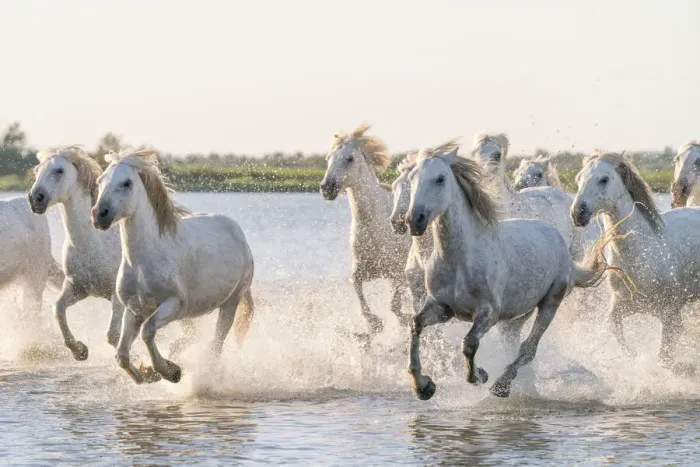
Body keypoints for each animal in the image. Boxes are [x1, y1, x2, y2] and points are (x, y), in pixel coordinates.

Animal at [28, 146, 198, 361]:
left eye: (59, 170)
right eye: (37, 170)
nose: (35, 199)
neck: (93, 243)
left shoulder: (117, 299)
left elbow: (112, 335)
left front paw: (139, 364)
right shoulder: (77, 287)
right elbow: (58, 309)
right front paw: (80, 350)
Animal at [91, 149, 254, 384]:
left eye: (127, 182)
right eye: (100, 180)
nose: (99, 215)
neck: (143, 263)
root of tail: (238, 232)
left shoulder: (174, 305)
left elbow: (147, 331)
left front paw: (170, 372)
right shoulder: (134, 309)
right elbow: (121, 355)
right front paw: (147, 374)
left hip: (231, 301)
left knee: (216, 344)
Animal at [320, 123, 412, 339]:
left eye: (349, 158)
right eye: (328, 158)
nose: (326, 188)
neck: (374, 225)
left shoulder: (398, 272)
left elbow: (395, 307)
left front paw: (404, 320)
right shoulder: (364, 270)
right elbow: (356, 286)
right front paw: (374, 324)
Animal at [404, 141, 612, 400]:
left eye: (440, 178)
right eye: (412, 177)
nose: (414, 219)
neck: (461, 259)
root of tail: (557, 239)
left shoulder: (488, 313)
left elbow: (468, 343)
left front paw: (480, 375)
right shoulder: (441, 308)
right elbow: (415, 325)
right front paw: (423, 387)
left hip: (550, 302)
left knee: (528, 348)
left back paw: (501, 386)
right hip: (516, 315)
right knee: (514, 343)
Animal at [572, 150, 700, 374]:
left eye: (604, 179)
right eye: (578, 179)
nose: (578, 213)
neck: (642, 252)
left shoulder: (671, 314)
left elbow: (665, 356)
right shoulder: (622, 304)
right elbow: (613, 326)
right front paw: (633, 356)